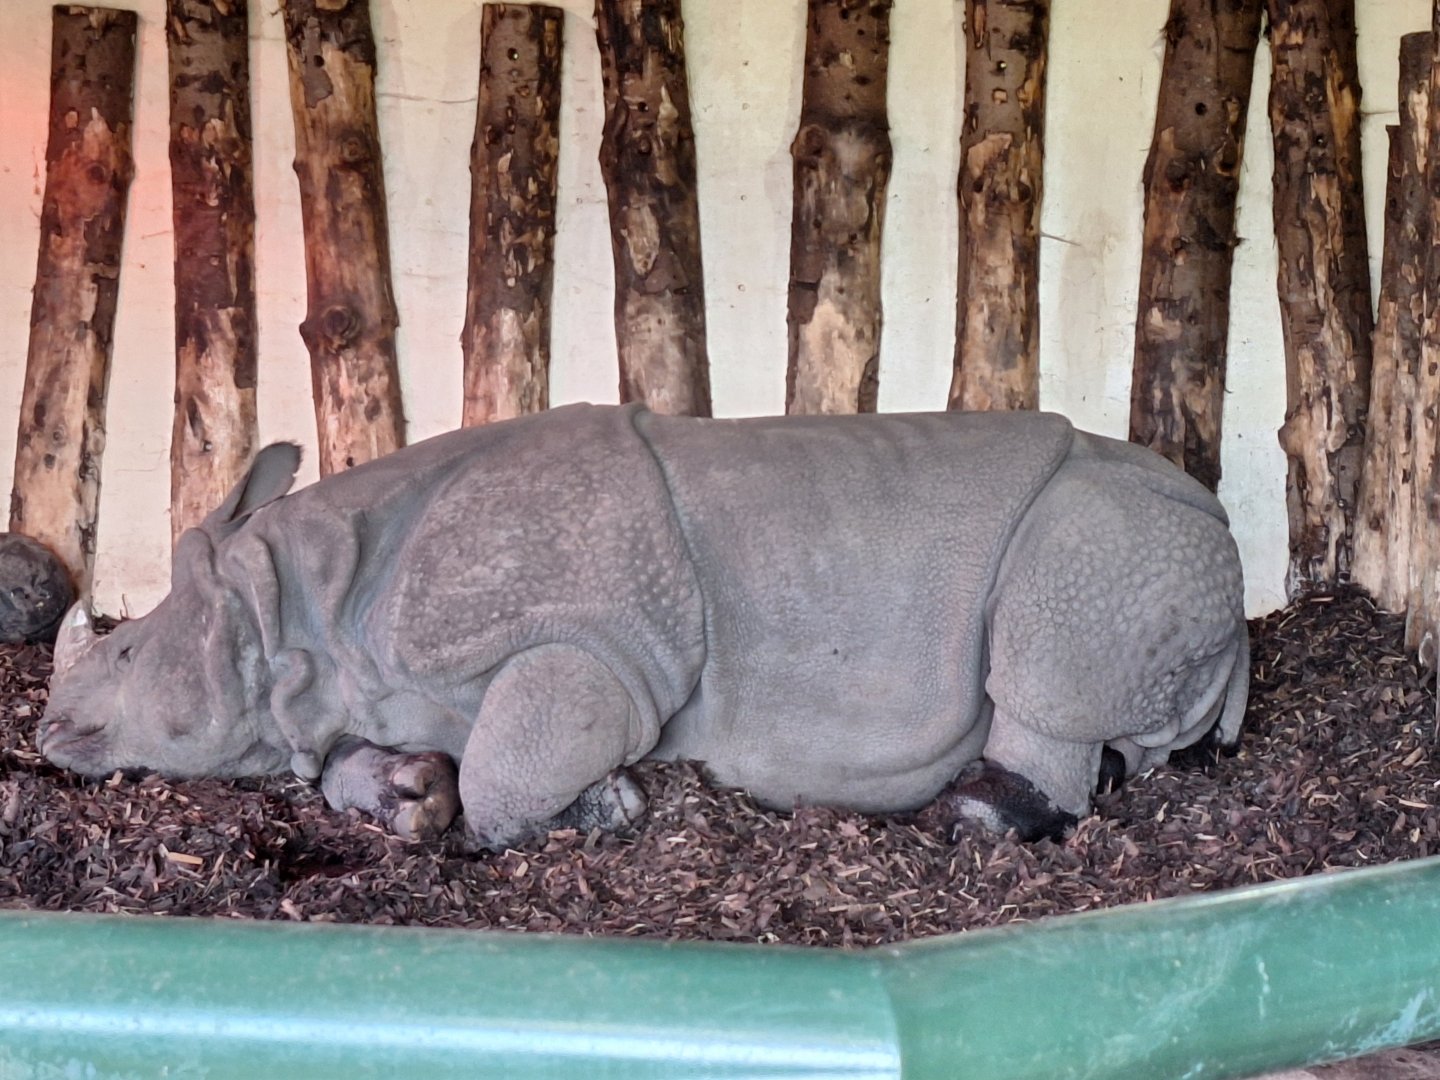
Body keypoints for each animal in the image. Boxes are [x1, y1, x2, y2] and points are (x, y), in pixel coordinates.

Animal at [40, 403, 1248, 847]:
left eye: (129, 651)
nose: (48, 737)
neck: (307, 605)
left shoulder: (597, 645)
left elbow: (508, 776)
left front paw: (607, 807)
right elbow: (371, 762)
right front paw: (407, 793)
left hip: (1117, 533)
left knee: (1053, 658)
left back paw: (972, 819)